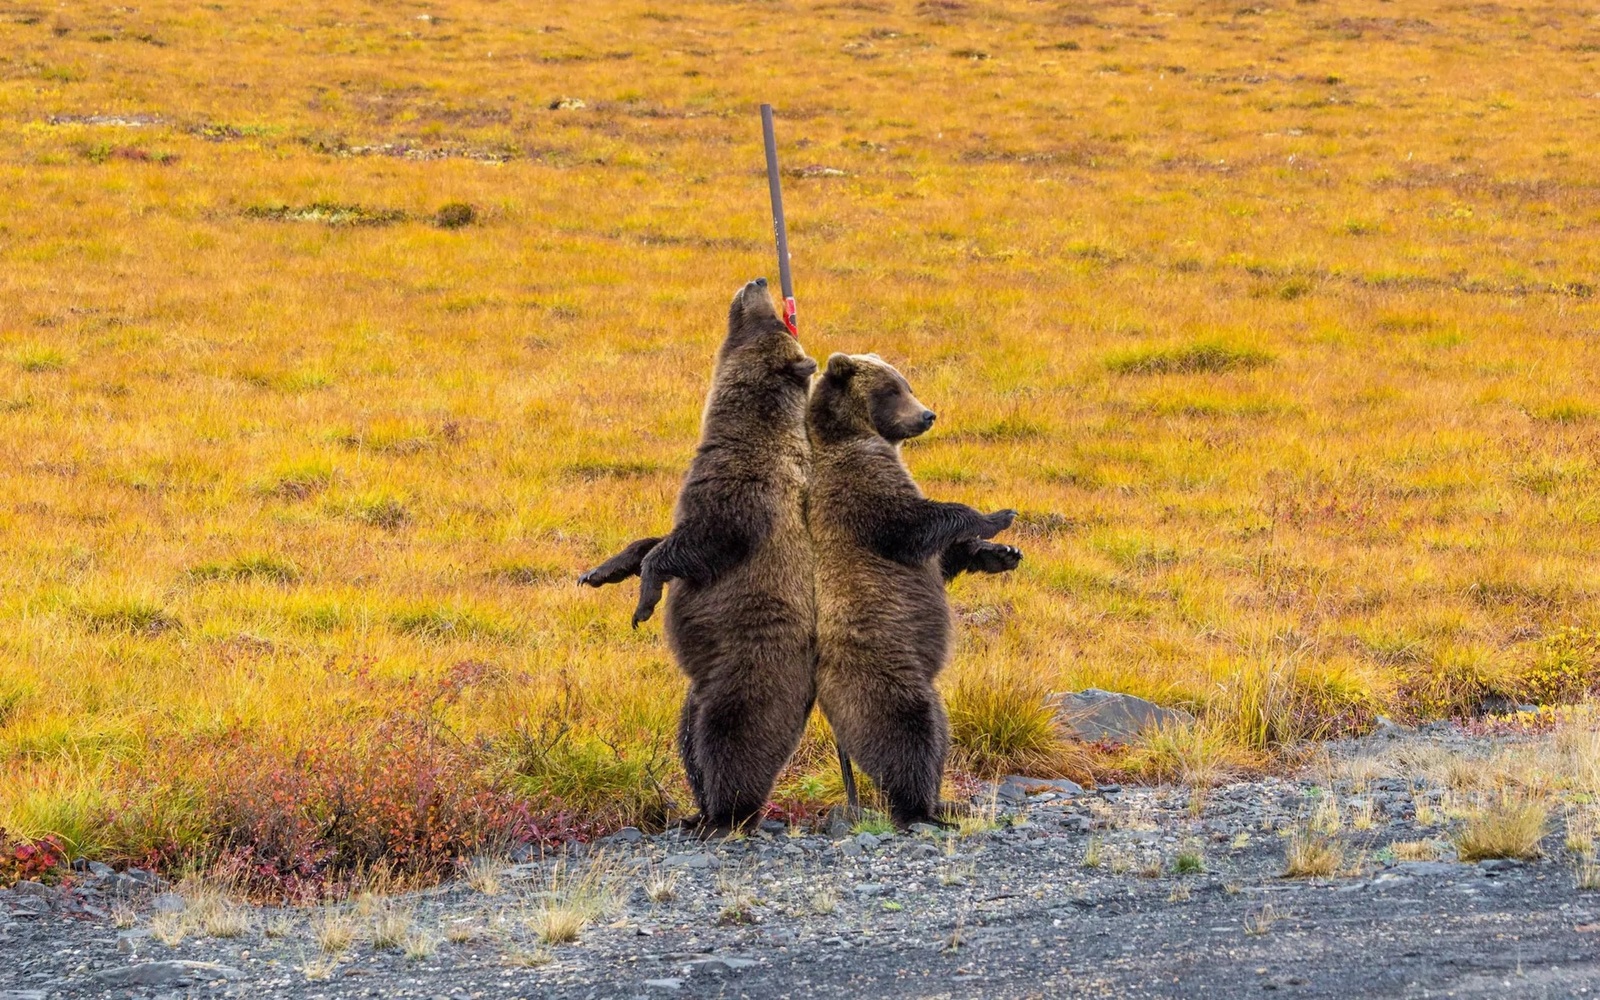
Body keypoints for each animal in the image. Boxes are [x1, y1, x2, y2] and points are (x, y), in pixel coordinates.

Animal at [579, 276, 825, 832]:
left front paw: (644, 601)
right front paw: (602, 571)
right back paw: (697, 811)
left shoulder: (745, 496)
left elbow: (702, 543)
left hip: (747, 675)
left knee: (729, 740)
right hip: (697, 690)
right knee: (689, 739)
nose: (758, 280)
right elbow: (657, 541)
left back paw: (726, 814)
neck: (740, 429)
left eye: (774, 320)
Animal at [806, 350, 1017, 825]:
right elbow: (910, 523)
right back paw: (919, 807)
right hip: (882, 673)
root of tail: (826, 703)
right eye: (890, 390)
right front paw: (997, 515)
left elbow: (941, 559)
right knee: (907, 729)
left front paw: (1002, 553)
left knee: (938, 728)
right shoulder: (858, 486)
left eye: (907, 384)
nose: (927, 415)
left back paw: (946, 801)